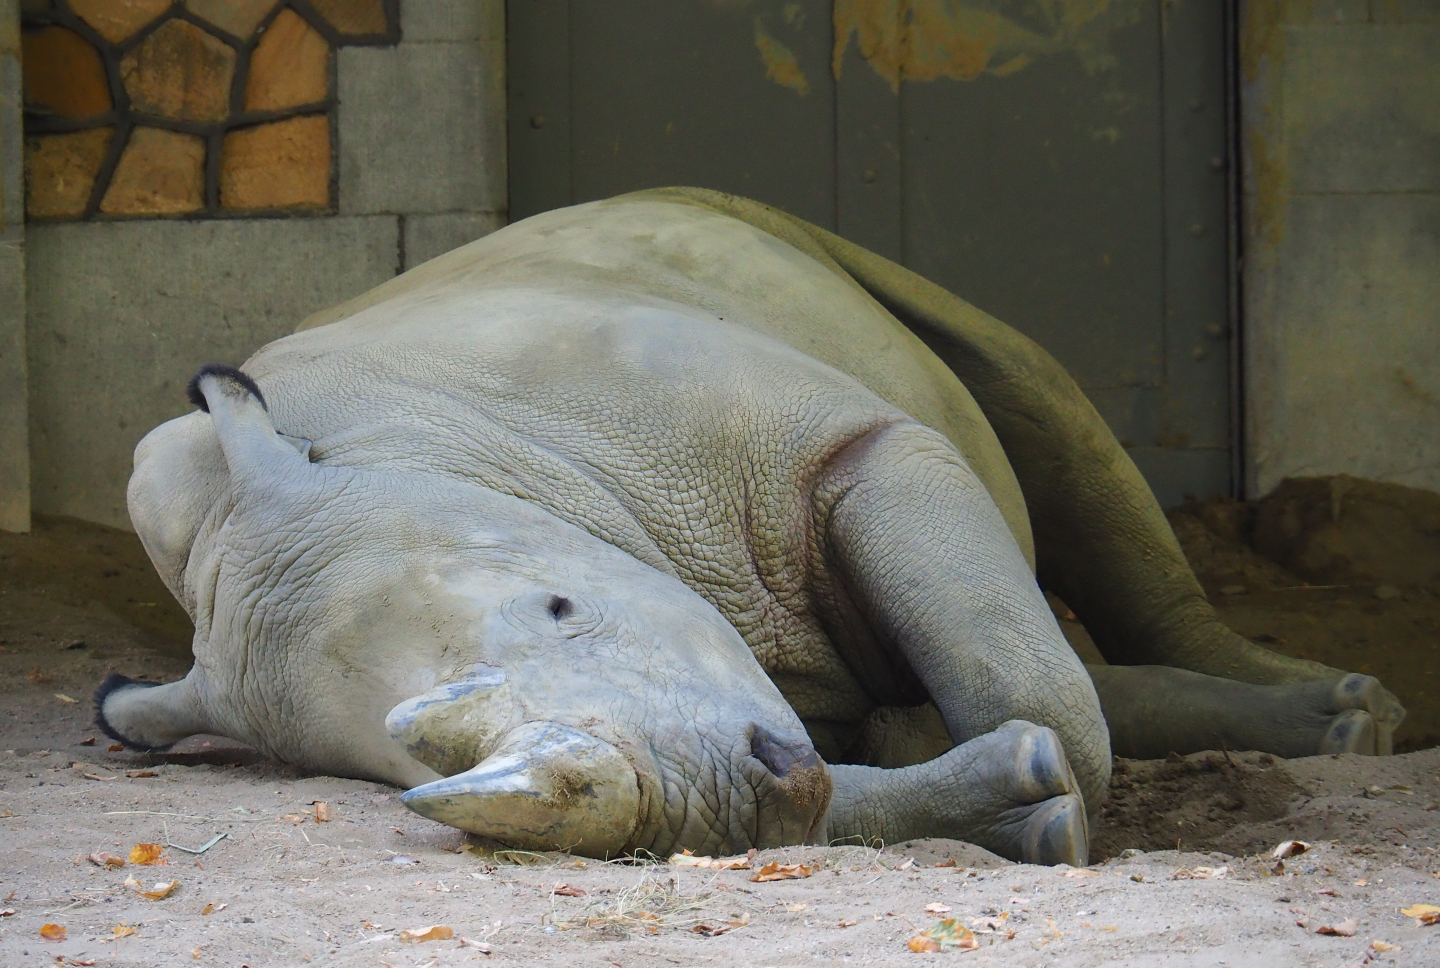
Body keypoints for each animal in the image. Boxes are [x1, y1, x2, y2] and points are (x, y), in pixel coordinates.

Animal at [98, 189, 1403, 867]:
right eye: (416, 761)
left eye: (564, 605)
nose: (680, 799)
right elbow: (852, 772)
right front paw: (1013, 794)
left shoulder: (822, 441)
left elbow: (1003, 663)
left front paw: (1039, 775)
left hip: (750, 226)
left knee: (1031, 399)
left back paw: (1357, 717)